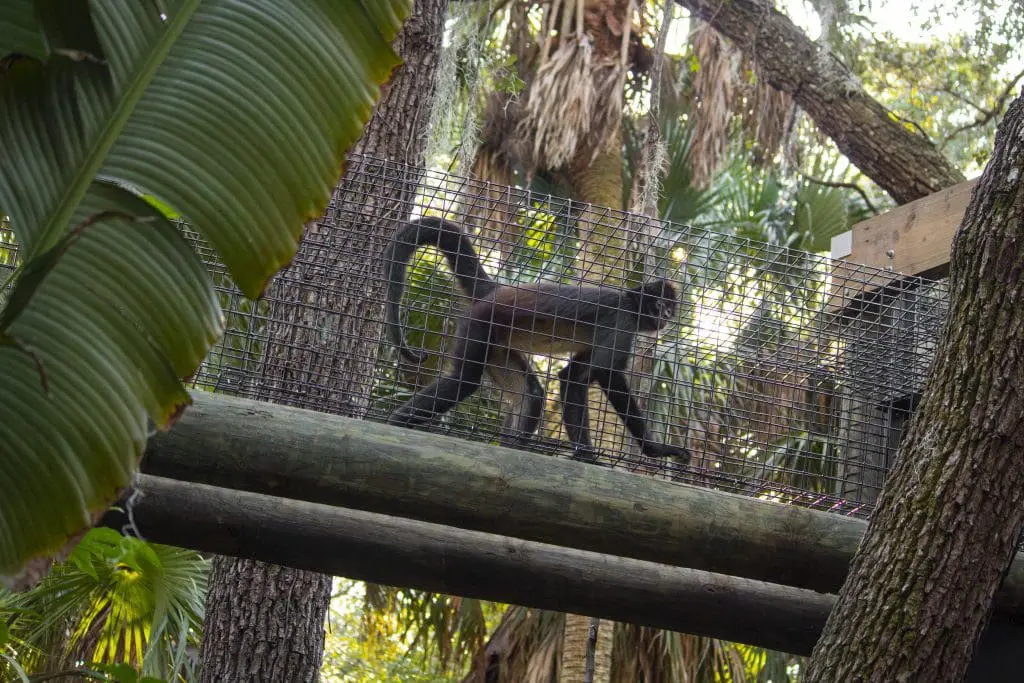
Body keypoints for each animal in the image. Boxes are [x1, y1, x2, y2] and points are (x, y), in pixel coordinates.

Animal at [383, 216, 690, 466]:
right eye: (660, 305)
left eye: (669, 308)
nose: (666, 315)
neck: (630, 302)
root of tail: (496, 291)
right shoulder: (623, 322)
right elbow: (598, 375)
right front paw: (602, 456)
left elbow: (571, 376)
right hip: (479, 325)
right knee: (464, 381)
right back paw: (393, 423)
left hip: (498, 344)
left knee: (530, 395)